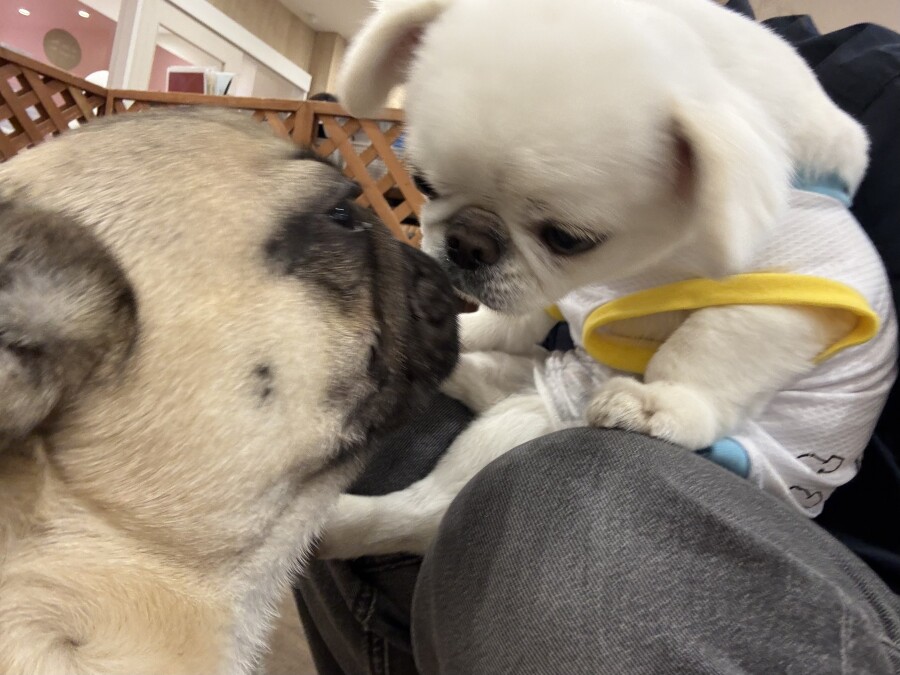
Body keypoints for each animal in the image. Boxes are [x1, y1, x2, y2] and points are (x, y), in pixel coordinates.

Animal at [316, 0, 897, 559]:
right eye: (423, 183)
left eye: (566, 238)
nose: (466, 243)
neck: (644, 264)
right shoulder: (549, 293)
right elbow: (517, 317)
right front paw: (476, 325)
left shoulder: (784, 295)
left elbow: (708, 348)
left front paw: (661, 402)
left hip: (525, 424)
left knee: (424, 512)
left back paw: (337, 526)